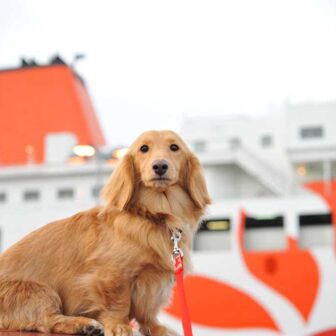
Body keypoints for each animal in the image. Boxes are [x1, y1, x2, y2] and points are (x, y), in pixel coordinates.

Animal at [0, 131, 210, 336]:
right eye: (144, 148)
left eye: (174, 147)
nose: (160, 166)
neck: (155, 215)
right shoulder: (112, 276)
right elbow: (118, 304)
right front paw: (119, 326)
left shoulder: (155, 284)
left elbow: (147, 312)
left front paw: (156, 327)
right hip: (40, 292)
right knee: (46, 321)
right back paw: (84, 325)